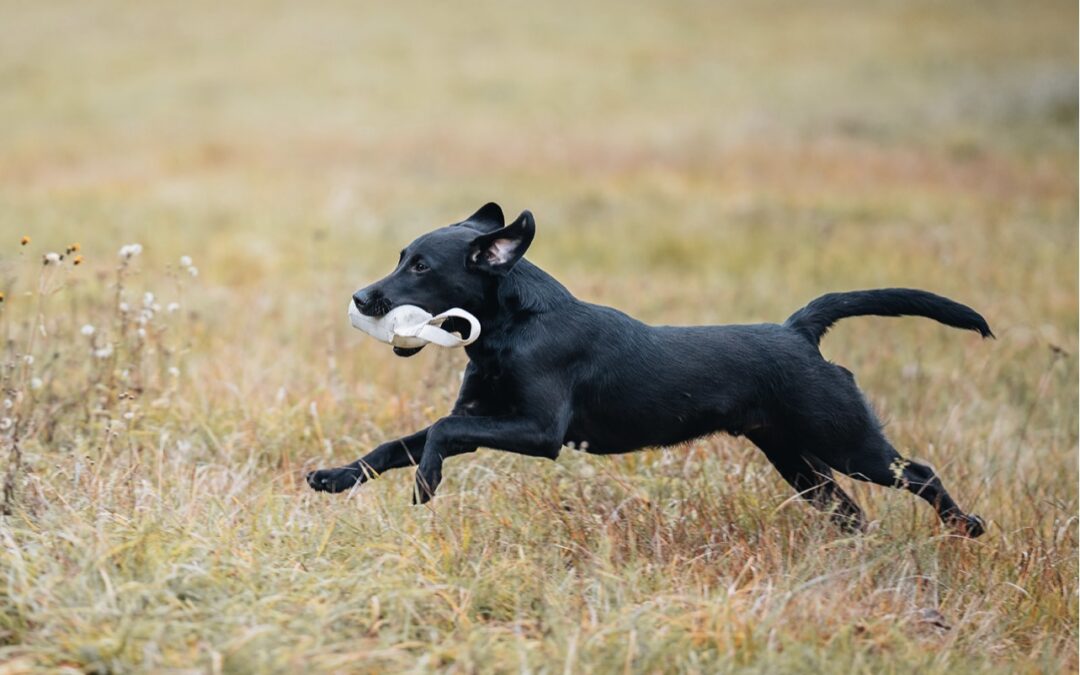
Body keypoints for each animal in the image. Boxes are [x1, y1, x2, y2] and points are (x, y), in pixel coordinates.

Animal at [308, 203, 989, 533]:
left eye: (422, 267)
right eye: (402, 257)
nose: (362, 299)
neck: (514, 326)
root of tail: (798, 331)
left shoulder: (539, 432)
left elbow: (438, 439)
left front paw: (427, 484)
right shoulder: (482, 418)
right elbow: (396, 444)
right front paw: (336, 478)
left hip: (846, 441)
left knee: (920, 472)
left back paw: (968, 526)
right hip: (797, 459)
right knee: (851, 513)